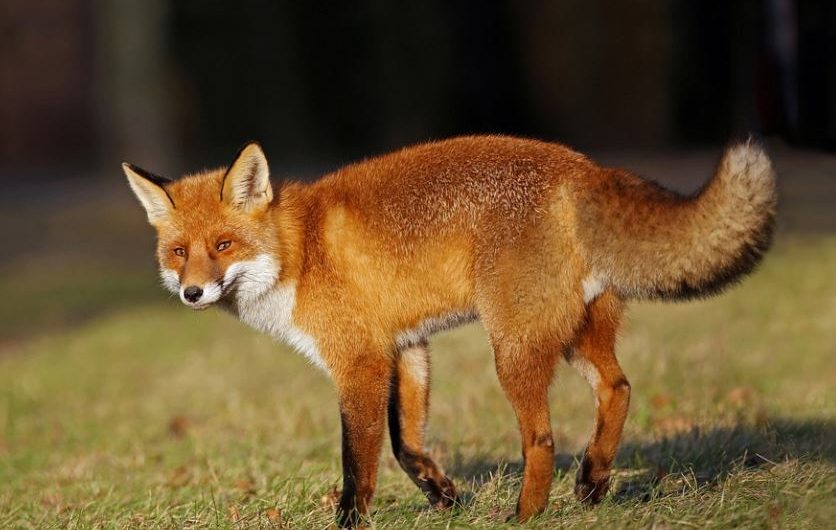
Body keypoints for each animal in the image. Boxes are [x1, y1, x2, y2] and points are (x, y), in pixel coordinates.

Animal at [123, 135, 776, 527]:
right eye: (179, 253)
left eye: (223, 246)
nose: (192, 293)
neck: (299, 252)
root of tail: (581, 167)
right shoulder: (406, 347)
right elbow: (407, 445)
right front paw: (446, 497)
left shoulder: (359, 360)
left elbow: (358, 462)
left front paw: (352, 522)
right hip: (573, 335)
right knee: (618, 389)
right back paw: (592, 483)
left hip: (512, 349)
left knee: (542, 440)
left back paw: (526, 516)